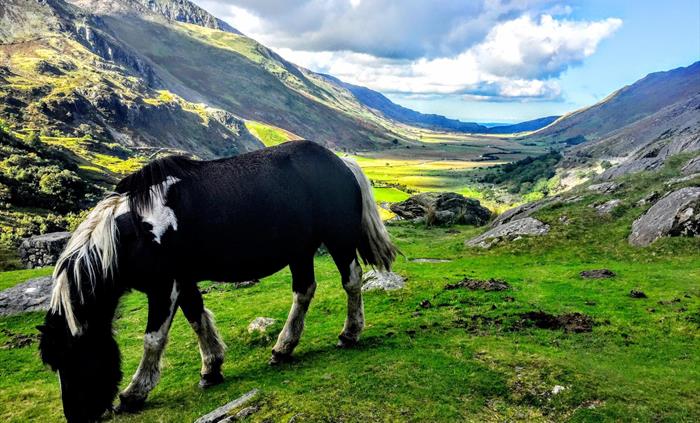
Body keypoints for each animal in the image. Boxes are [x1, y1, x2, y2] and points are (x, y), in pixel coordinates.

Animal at [37, 141, 398, 423]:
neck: (134, 230)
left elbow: (153, 338)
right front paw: (211, 369)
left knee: (351, 281)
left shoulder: (163, 286)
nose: (77, 417)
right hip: (301, 251)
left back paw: (349, 334)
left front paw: (134, 393)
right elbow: (197, 319)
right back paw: (283, 348)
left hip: (338, 240)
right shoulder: (183, 281)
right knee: (304, 291)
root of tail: (342, 162)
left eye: (73, 357)